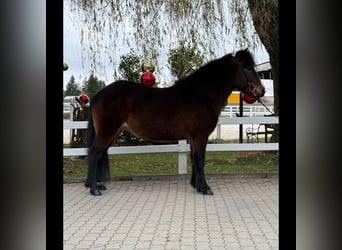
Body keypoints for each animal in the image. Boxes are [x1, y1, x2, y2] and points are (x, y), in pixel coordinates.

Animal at [85, 48, 264, 195]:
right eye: (248, 68)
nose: (261, 90)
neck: (202, 94)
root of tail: (97, 95)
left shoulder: (192, 138)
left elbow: (194, 159)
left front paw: (196, 186)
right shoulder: (200, 136)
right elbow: (200, 160)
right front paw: (205, 188)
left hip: (113, 133)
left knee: (100, 154)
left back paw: (98, 185)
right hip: (107, 132)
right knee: (94, 153)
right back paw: (94, 190)